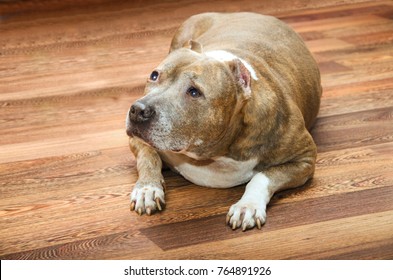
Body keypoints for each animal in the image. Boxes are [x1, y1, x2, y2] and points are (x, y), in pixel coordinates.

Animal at [125, 12, 322, 231]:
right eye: (154, 75)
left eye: (194, 92)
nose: (137, 111)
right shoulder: (139, 141)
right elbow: (148, 156)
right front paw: (147, 189)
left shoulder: (304, 159)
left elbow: (263, 176)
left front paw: (248, 206)